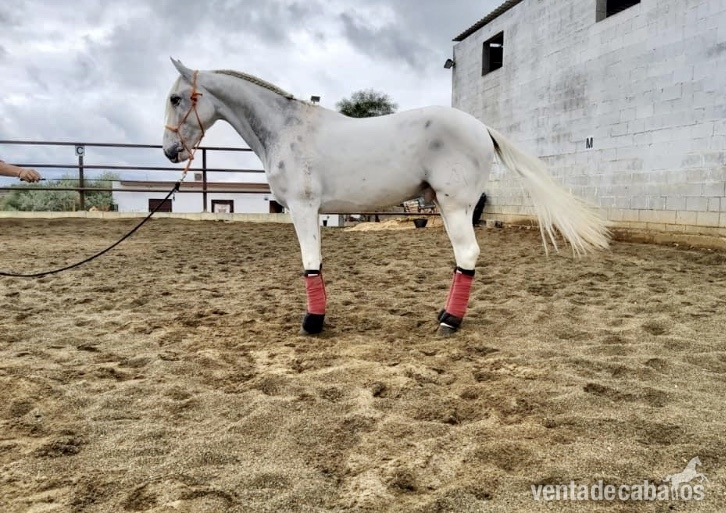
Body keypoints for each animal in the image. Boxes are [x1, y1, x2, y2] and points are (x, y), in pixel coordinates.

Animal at [162, 58, 610, 336]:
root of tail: (480, 127)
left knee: (467, 254)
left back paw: (449, 322)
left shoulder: (304, 209)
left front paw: (312, 323)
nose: (170, 152)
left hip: (454, 205)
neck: (288, 130)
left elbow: (310, 262)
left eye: (175, 98)